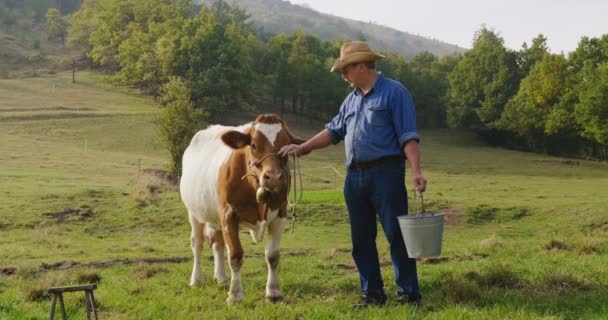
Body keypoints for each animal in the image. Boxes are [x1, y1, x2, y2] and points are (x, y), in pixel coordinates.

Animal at [179, 114, 304, 302]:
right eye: (253, 144)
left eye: (286, 145)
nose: (274, 176)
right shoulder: (229, 214)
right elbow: (235, 255)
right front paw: (235, 294)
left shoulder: (280, 214)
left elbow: (273, 256)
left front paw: (273, 292)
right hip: (194, 213)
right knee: (197, 244)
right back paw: (196, 279)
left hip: (216, 217)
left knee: (218, 244)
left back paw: (221, 277)